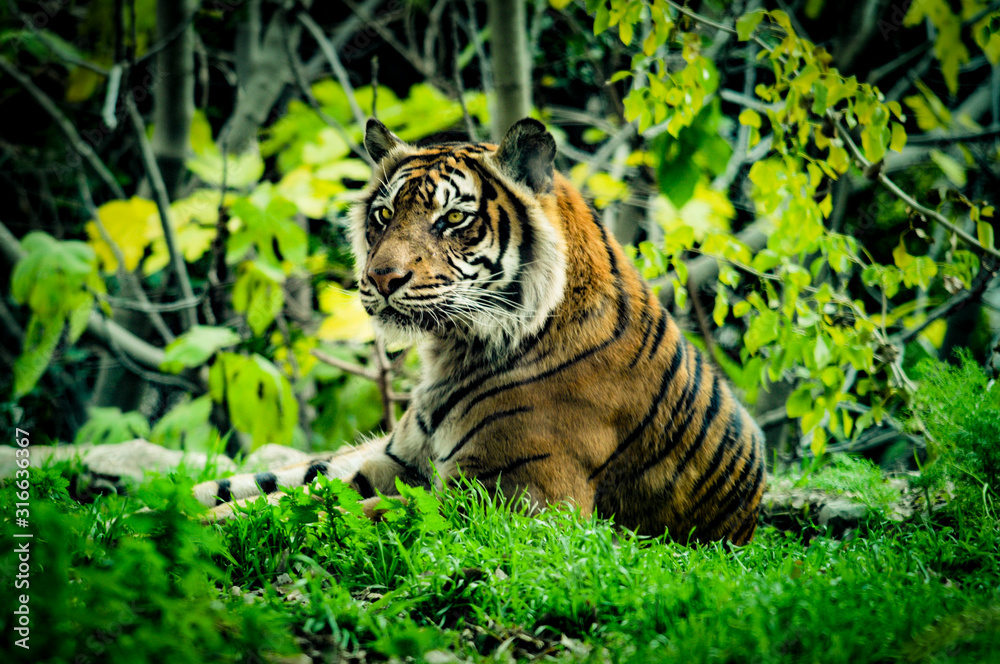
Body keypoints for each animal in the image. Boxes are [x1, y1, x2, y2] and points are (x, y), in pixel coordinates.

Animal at [194, 117, 766, 544]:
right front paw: (184, 517)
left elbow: (326, 510)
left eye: (452, 219)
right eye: (383, 214)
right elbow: (288, 496)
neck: (452, 350)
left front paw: (199, 529)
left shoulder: (515, 499)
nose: (381, 278)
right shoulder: (394, 461)